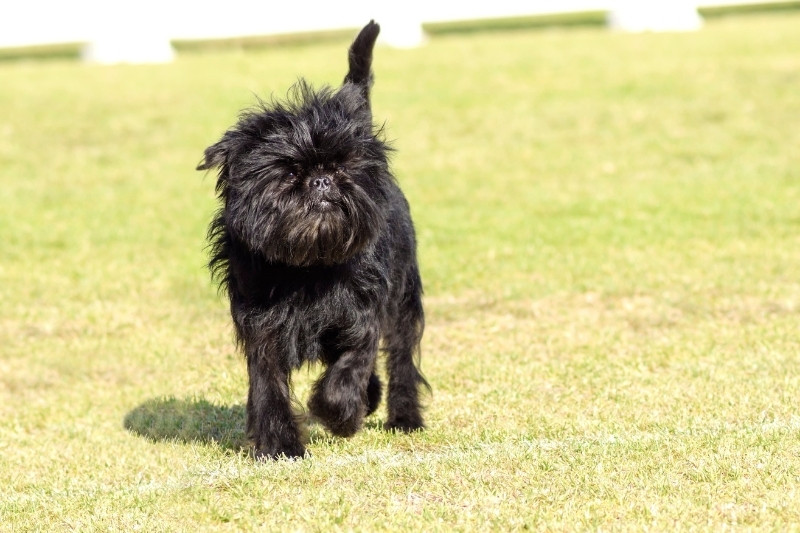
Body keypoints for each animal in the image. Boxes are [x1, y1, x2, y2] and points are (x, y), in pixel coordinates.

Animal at [198, 20, 428, 458]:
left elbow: (351, 367)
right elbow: (268, 385)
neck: (308, 266)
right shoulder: (261, 327)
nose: (322, 180)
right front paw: (280, 446)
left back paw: (403, 416)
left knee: (401, 356)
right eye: (289, 173)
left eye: (341, 168)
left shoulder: (363, 314)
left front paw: (338, 413)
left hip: (404, 295)